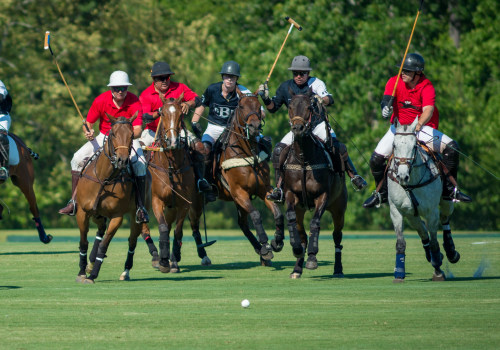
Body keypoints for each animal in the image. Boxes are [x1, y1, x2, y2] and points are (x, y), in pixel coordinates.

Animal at [73, 113, 156, 284]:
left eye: (131, 136)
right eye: (113, 134)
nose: (122, 161)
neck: (104, 178)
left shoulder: (117, 216)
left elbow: (104, 244)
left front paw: (93, 275)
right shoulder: (83, 212)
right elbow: (83, 242)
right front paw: (82, 272)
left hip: (136, 213)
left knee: (132, 241)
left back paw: (125, 272)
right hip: (96, 214)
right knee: (100, 230)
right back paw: (90, 264)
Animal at [148, 93, 211, 274]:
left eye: (181, 115)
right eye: (161, 113)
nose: (173, 141)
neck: (171, 166)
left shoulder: (184, 203)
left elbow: (178, 232)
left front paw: (174, 261)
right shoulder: (156, 200)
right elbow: (163, 228)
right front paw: (163, 262)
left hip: (194, 204)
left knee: (194, 226)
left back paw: (202, 255)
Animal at [212, 88, 286, 266]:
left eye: (259, 106)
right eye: (241, 106)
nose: (253, 127)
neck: (247, 153)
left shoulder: (264, 190)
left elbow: (278, 213)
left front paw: (277, 242)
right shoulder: (239, 192)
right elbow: (256, 215)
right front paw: (265, 244)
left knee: (243, 224)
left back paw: (260, 251)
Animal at [282, 91, 348, 278]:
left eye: (309, 107)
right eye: (290, 106)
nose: (298, 129)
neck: (304, 159)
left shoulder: (322, 195)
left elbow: (315, 223)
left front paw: (312, 257)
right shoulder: (291, 194)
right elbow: (291, 218)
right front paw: (296, 249)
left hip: (339, 207)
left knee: (337, 236)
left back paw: (338, 269)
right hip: (301, 209)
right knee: (303, 234)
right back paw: (297, 268)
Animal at [386, 117, 460, 282]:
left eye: (414, 146)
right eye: (394, 145)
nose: (402, 176)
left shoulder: (431, 212)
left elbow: (434, 242)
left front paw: (438, 271)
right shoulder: (396, 211)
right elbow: (401, 243)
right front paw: (399, 274)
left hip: (446, 201)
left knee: (445, 219)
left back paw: (450, 252)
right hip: (411, 214)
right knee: (422, 230)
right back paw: (432, 256)